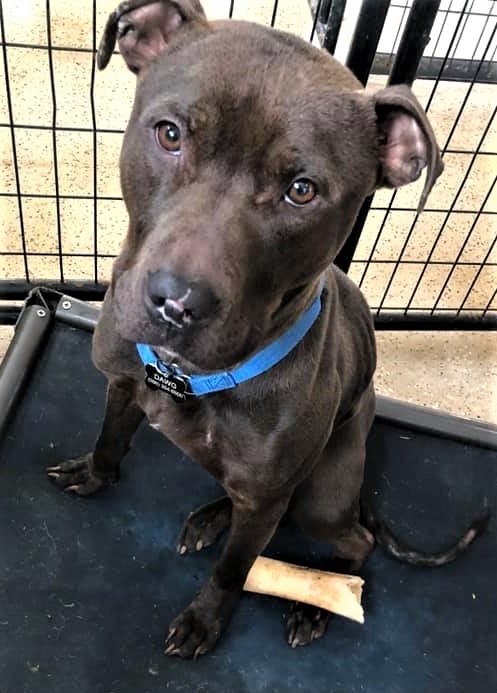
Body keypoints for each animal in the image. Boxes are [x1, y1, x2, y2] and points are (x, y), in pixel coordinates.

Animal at [47, 1, 488, 660]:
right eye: (170, 134)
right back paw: (212, 515)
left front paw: (207, 619)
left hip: (321, 500)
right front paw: (96, 473)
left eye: (301, 190)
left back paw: (321, 599)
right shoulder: (123, 385)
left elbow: (234, 570)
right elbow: (110, 438)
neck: (186, 378)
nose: (177, 302)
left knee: (351, 542)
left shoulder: (268, 496)